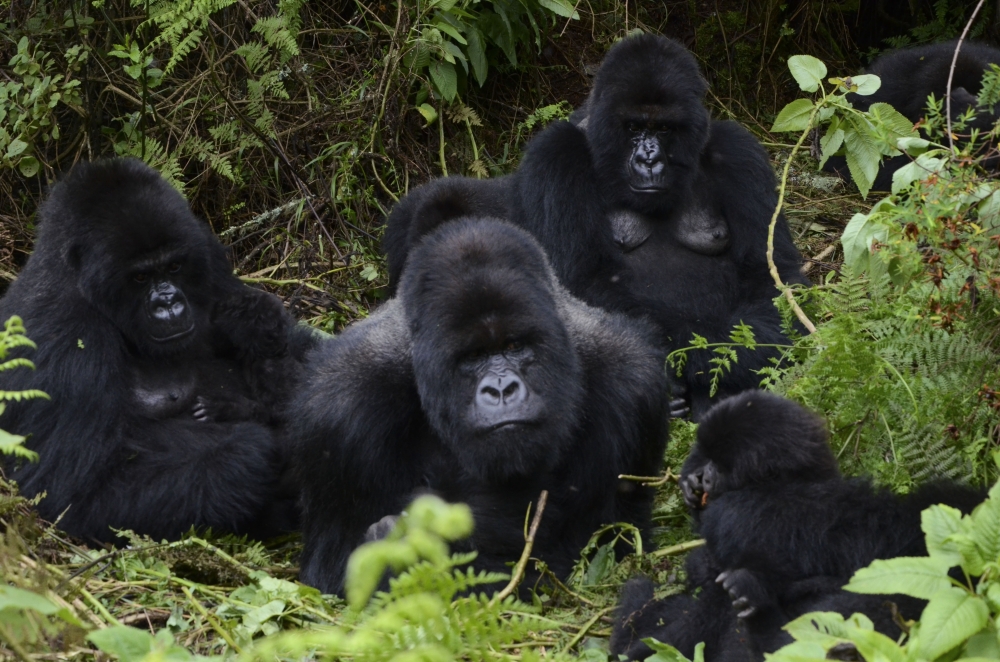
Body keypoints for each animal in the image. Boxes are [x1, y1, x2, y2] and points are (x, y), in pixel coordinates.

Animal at [0, 160, 316, 544]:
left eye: (174, 266)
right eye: (139, 277)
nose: (168, 303)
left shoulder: (204, 249)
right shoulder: (65, 332)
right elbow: (76, 493)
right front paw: (262, 448)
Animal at [292, 218, 668, 596]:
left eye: (514, 345)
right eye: (473, 356)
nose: (501, 390)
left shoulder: (634, 382)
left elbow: (606, 547)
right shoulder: (339, 411)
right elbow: (332, 571)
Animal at [380, 35, 804, 420]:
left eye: (665, 128)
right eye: (633, 127)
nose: (650, 161)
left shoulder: (740, 151)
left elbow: (774, 281)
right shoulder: (556, 154)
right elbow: (578, 281)